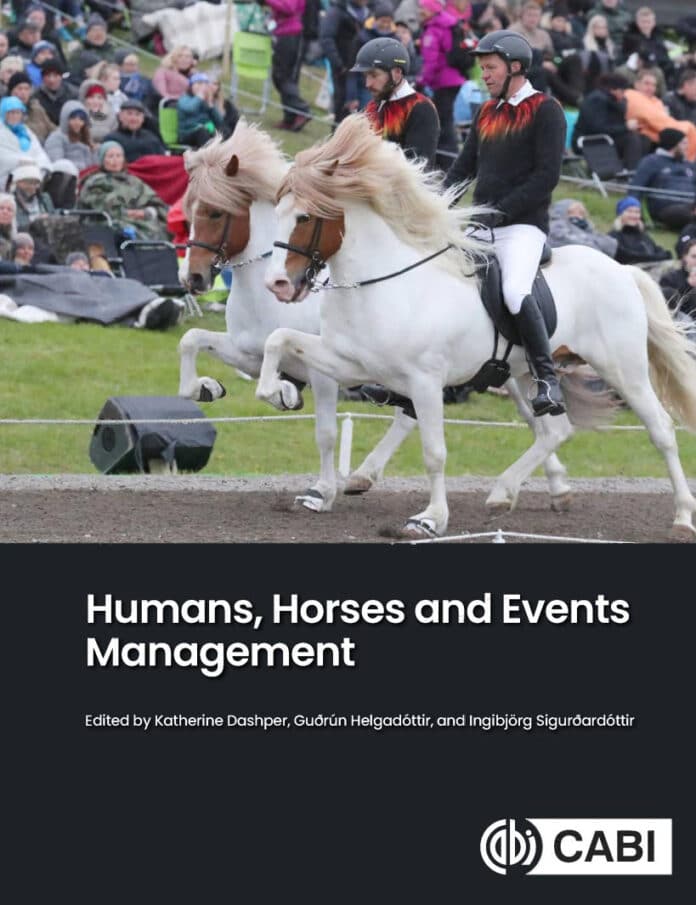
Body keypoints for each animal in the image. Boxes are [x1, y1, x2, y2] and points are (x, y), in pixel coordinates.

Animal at [178, 122, 578, 516]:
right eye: (190, 210)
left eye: (215, 212)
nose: (192, 278)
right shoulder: (250, 352)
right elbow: (193, 339)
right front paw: (210, 388)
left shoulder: (326, 373)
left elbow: (325, 432)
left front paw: (320, 491)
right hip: (504, 369)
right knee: (539, 424)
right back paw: (551, 487)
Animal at [258, 114, 696, 541]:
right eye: (275, 213)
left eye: (305, 217)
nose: (277, 284)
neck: (382, 284)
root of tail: (622, 269)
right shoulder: (350, 363)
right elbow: (279, 339)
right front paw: (278, 392)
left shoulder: (424, 381)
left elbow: (434, 452)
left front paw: (430, 519)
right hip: (528, 373)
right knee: (554, 431)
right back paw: (503, 492)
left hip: (623, 369)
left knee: (660, 429)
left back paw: (682, 518)